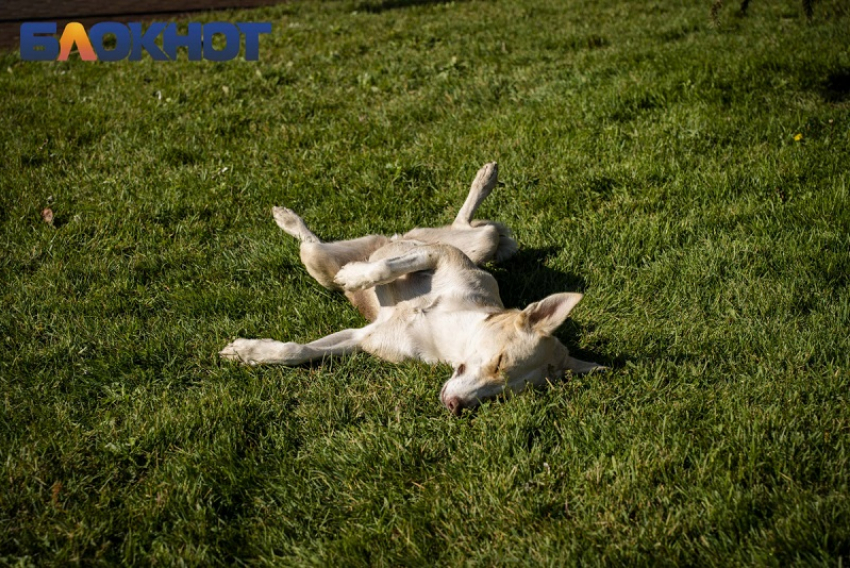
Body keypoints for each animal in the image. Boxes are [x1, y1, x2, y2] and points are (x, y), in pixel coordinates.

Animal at [219, 162, 604, 414]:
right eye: (498, 362)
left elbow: (298, 352)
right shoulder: (440, 256)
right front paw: (357, 277)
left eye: (505, 394)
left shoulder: (364, 338)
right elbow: (391, 266)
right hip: (331, 258)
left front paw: (250, 352)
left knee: (482, 230)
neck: (446, 332)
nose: (456, 407)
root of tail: (392, 235)